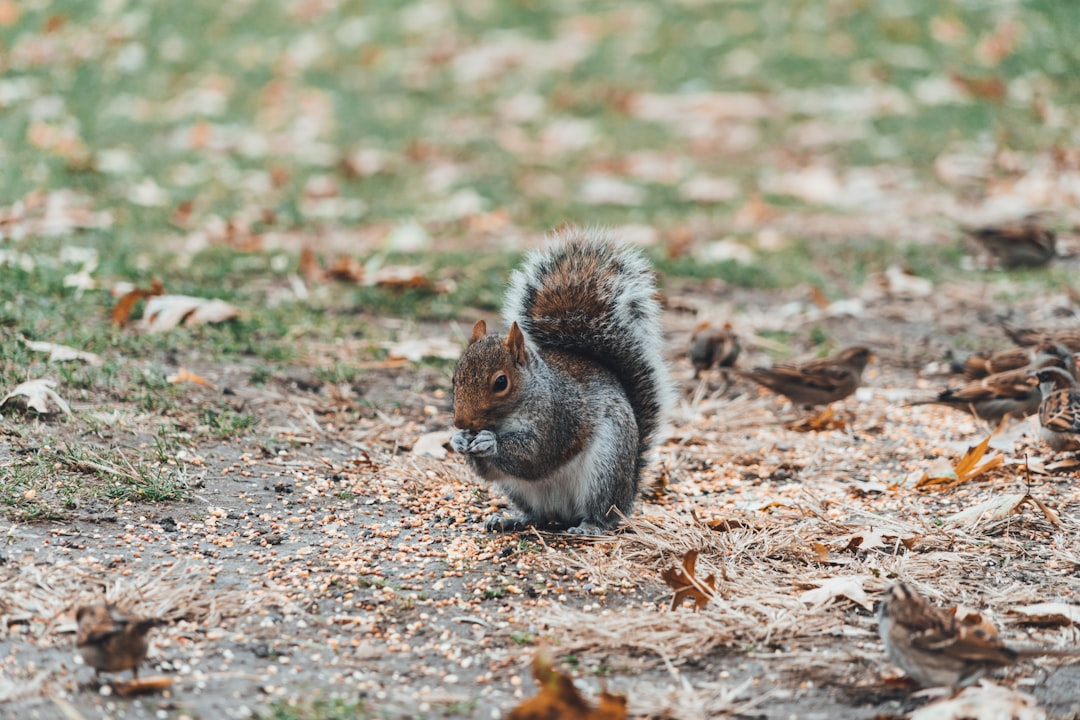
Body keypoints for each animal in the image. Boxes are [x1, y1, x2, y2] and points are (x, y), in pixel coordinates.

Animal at [449, 226, 669, 535]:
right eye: (455, 378)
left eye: (501, 383)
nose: (461, 423)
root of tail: (627, 495)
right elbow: (489, 470)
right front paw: (458, 440)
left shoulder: (558, 419)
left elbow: (535, 455)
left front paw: (489, 442)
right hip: (520, 490)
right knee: (539, 515)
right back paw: (511, 519)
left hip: (605, 470)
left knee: (602, 512)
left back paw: (590, 526)